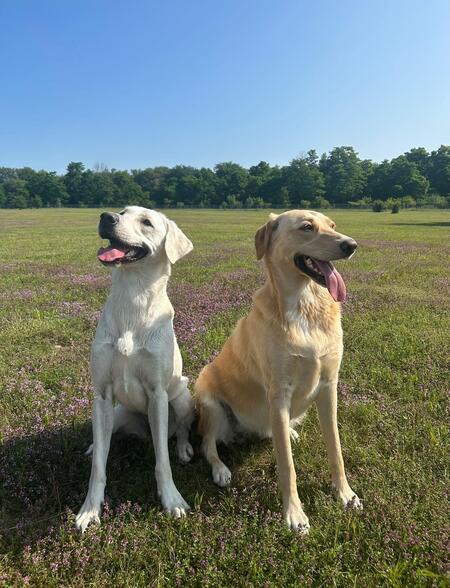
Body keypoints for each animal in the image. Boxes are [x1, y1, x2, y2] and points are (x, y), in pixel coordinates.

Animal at [76, 206, 195, 532]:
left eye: (147, 222)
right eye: (122, 211)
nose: (106, 217)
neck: (134, 297)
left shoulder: (158, 394)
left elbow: (162, 461)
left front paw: (171, 499)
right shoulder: (102, 395)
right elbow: (98, 466)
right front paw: (90, 509)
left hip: (182, 397)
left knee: (180, 430)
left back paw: (183, 449)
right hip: (117, 412)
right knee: (105, 436)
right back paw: (93, 445)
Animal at [196, 210, 362, 532]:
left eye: (332, 225)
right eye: (307, 227)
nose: (351, 245)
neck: (306, 305)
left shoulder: (328, 387)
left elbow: (336, 450)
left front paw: (345, 494)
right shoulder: (279, 393)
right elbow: (287, 465)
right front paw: (294, 514)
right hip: (208, 399)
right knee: (208, 446)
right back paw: (221, 469)